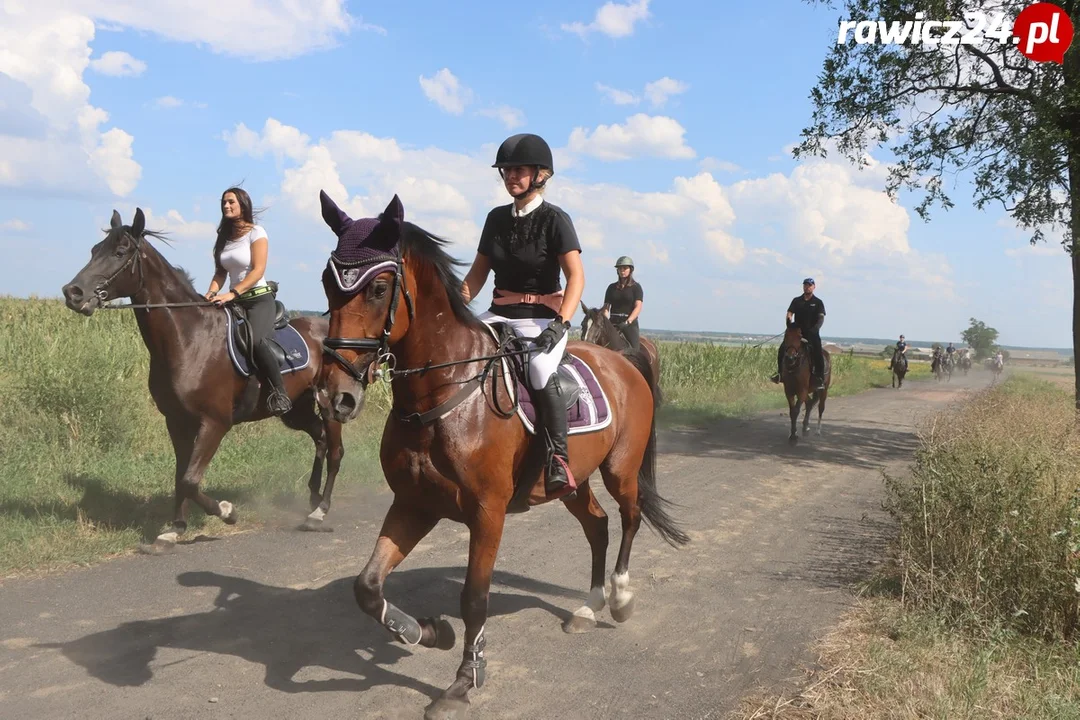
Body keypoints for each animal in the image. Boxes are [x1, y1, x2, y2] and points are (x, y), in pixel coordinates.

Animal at [60, 208, 345, 552]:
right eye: (94, 250)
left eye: (120, 252)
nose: (73, 293)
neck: (188, 338)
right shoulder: (177, 421)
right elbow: (181, 476)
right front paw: (175, 529)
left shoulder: (215, 422)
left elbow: (190, 479)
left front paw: (226, 512)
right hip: (296, 410)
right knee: (319, 438)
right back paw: (312, 500)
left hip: (330, 405)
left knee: (335, 451)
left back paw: (320, 512)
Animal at [315, 191, 686, 720]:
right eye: (328, 283)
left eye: (378, 288)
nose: (334, 397)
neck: (444, 394)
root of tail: (623, 360)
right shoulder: (414, 504)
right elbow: (367, 586)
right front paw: (429, 632)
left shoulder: (487, 512)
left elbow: (475, 597)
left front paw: (465, 680)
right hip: (572, 481)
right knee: (597, 525)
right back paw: (587, 607)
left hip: (621, 469)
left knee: (630, 517)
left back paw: (619, 597)